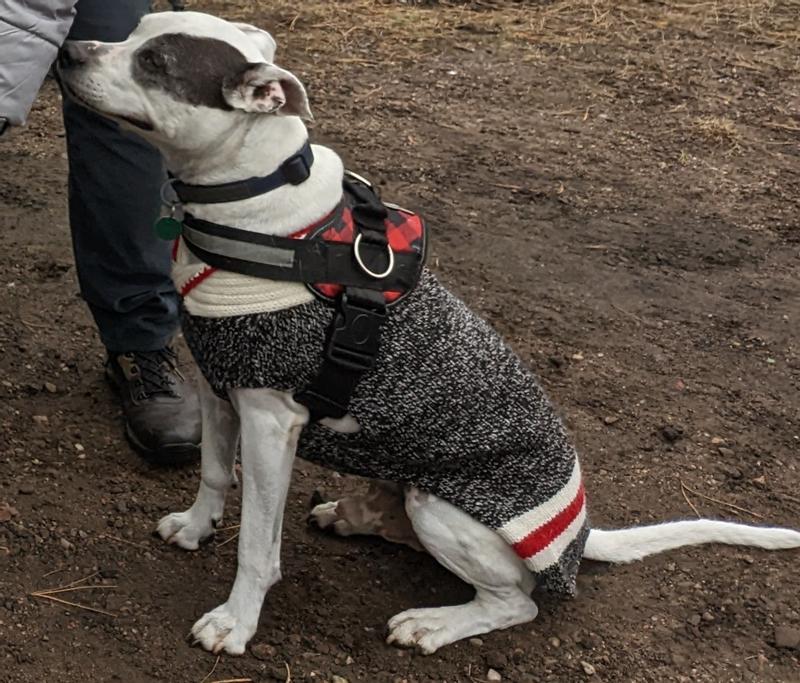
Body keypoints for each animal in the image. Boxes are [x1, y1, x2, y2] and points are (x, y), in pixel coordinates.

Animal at [59, 10, 800, 660]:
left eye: (155, 63)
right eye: (133, 32)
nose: (70, 51)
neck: (254, 205)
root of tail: (580, 535)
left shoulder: (270, 419)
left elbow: (256, 544)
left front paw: (235, 622)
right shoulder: (223, 387)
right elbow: (214, 472)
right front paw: (193, 528)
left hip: (445, 505)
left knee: (518, 600)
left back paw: (434, 623)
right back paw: (354, 516)